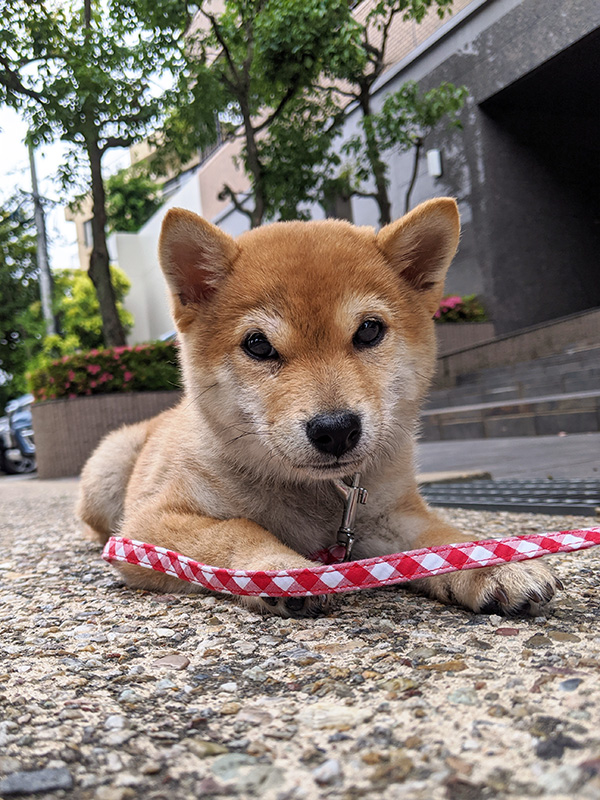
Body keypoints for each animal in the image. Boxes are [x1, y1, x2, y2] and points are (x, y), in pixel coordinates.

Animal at [77, 202, 560, 620]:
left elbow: (442, 542)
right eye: (258, 344)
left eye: (369, 330)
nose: (336, 429)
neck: (312, 493)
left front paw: (497, 563)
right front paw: (279, 570)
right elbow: (236, 528)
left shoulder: (388, 516)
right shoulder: (149, 525)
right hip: (108, 472)